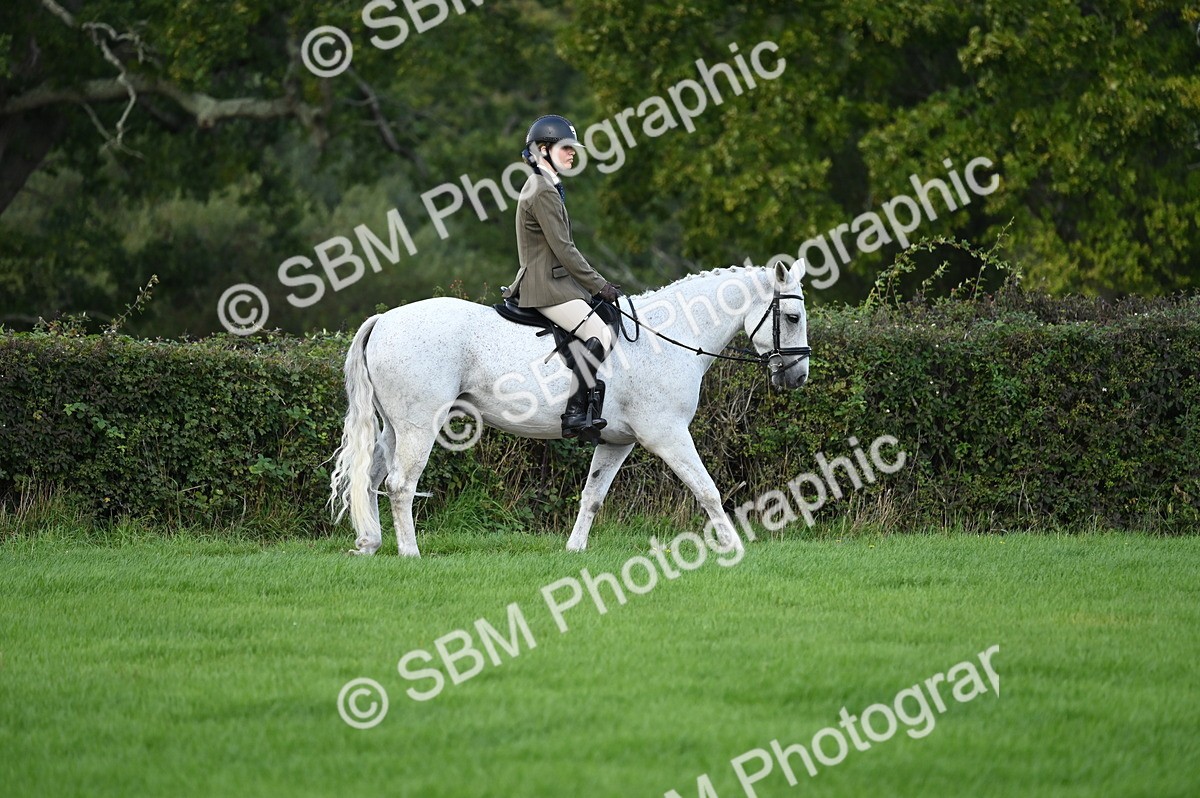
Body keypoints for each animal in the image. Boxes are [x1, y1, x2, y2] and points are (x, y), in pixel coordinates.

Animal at [330, 260, 810, 556]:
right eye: (792, 318)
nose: (798, 376)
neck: (667, 335)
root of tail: (384, 319)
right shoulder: (667, 435)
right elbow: (707, 489)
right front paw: (736, 546)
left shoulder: (617, 441)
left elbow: (593, 496)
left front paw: (574, 549)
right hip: (418, 425)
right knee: (400, 484)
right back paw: (409, 552)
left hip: (394, 427)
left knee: (371, 477)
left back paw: (370, 543)